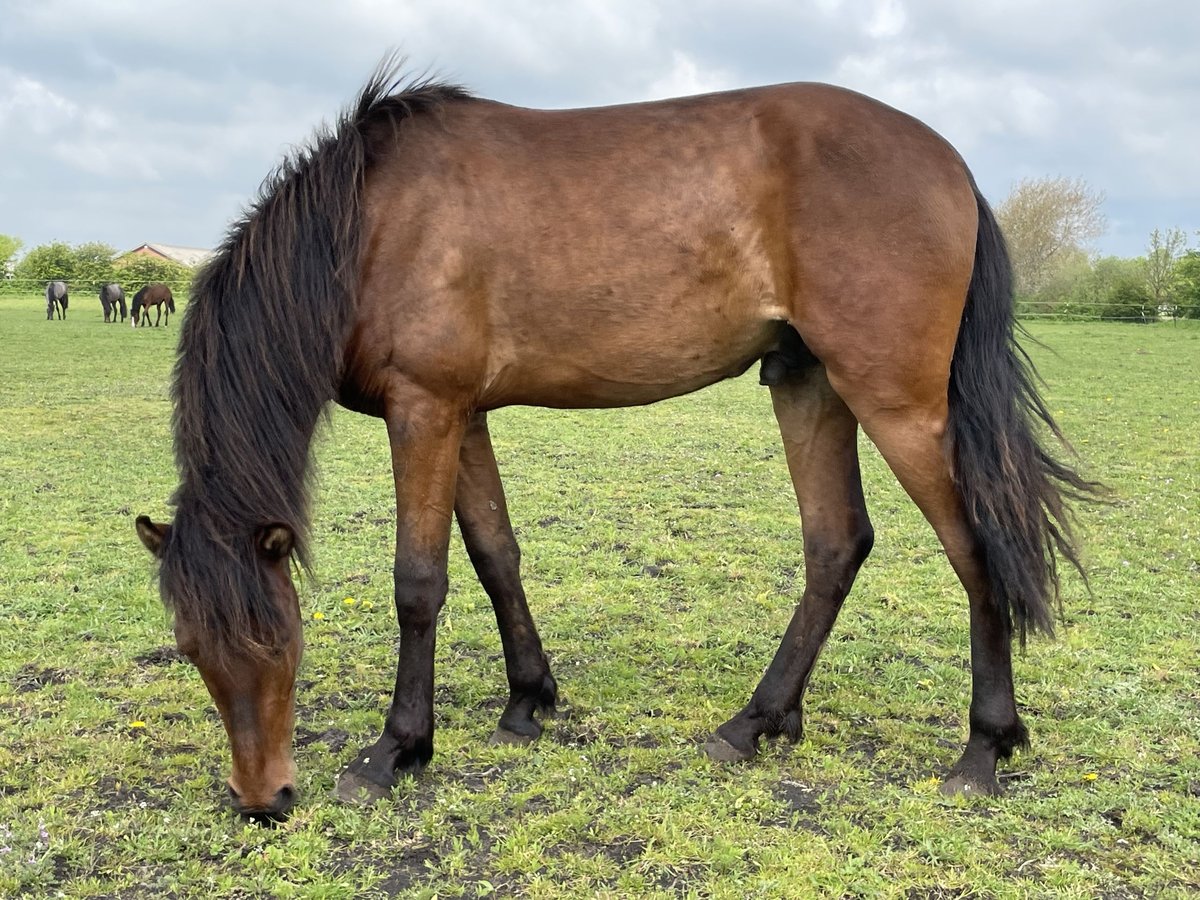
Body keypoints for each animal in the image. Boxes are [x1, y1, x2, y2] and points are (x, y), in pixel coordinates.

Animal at [133, 61, 1099, 825]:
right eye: (189, 648)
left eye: (274, 638)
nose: (261, 800)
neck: (368, 223)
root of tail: (950, 163)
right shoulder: (464, 415)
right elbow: (496, 556)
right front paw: (528, 701)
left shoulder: (426, 409)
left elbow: (419, 583)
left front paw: (395, 751)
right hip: (809, 385)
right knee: (836, 545)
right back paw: (755, 724)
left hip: (896, 404)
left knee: (974, 549)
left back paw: (983, 750)